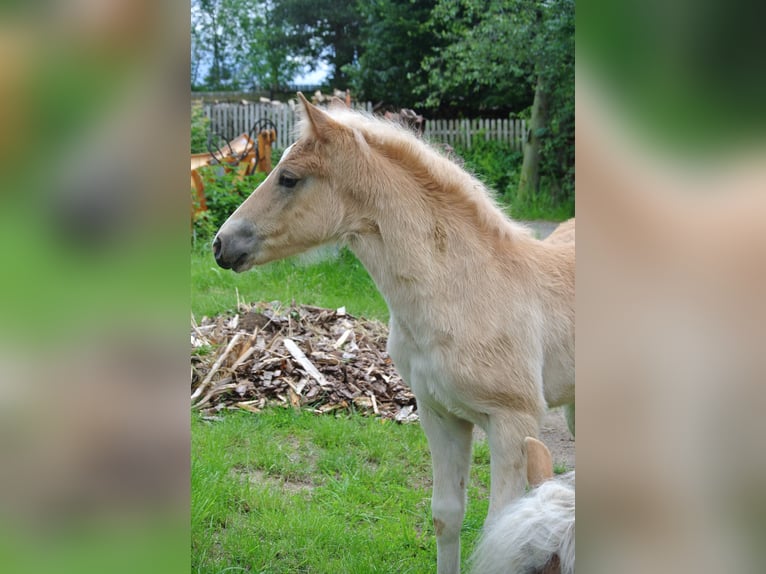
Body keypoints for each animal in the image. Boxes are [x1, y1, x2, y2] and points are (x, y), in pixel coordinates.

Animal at [213, 95, 572, 574]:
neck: (468, 291)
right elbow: (446, 516)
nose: (220, 244)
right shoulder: (440, 414)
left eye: (288, 178)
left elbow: (500, 528)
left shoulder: (513, 423)